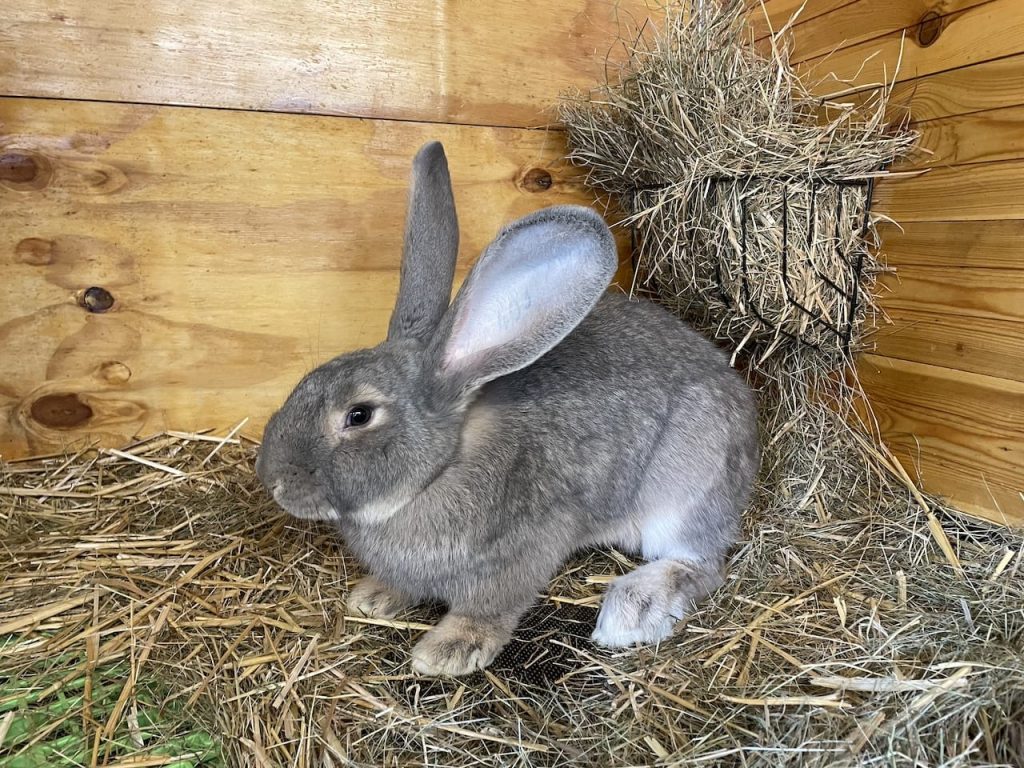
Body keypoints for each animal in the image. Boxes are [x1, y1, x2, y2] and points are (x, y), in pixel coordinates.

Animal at [255, 141, 760, 677]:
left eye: (359, 415)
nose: (271, 478)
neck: (437, 470)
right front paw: (374, 598)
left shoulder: (523, 556)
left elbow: (488, 610)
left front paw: (448, 650)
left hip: (685, 494)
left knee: (701, 564)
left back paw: (631, 610)